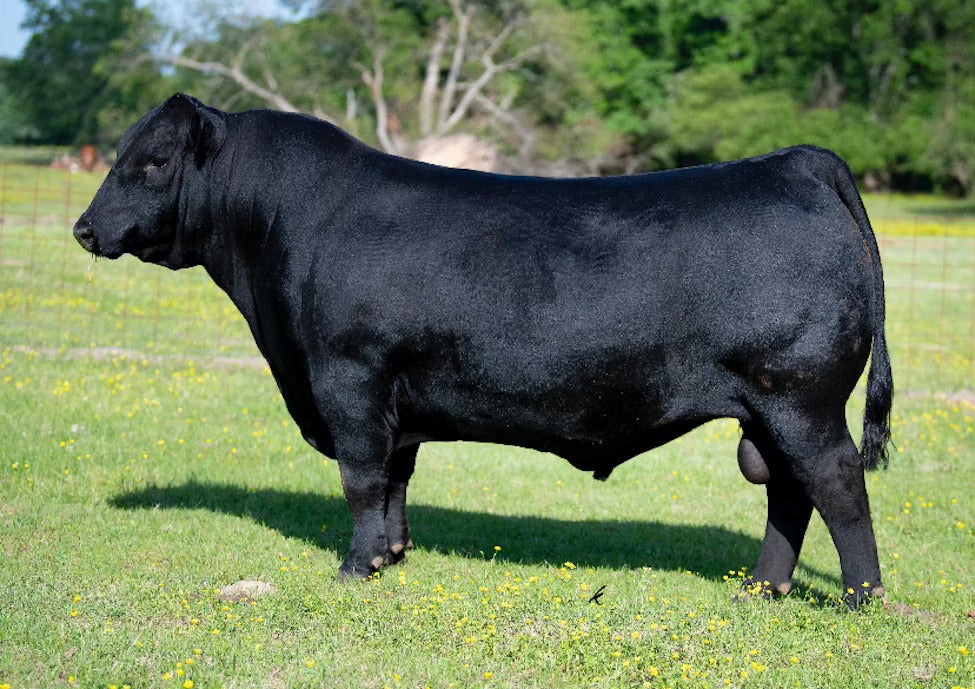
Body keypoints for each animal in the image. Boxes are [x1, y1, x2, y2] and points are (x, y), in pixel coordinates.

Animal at [74, 94, 893, 606]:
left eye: (152, 161)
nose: (84, 228)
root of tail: (791, 160)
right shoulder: (395, 399)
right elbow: (395, 479)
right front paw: (391, 556)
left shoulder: (349, 377)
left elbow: (361, 479)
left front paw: (353, 569)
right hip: (769, 408)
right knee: (788, 491)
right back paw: (761, 588)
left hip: (800, 395)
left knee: (835, 482)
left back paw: (860, 598)